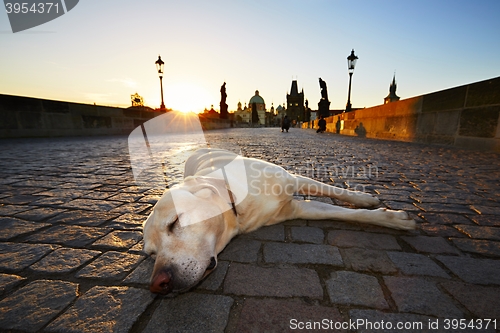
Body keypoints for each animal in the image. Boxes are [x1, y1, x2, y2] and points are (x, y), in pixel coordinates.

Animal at [142, 148, 414, 294]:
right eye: (151, 254)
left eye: (174, 222)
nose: (157, 284)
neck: (237, 200)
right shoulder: (297, 210)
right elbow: (339, 212)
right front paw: (392, 217)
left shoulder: (295, 179)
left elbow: (337, 192)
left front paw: (367, 200)